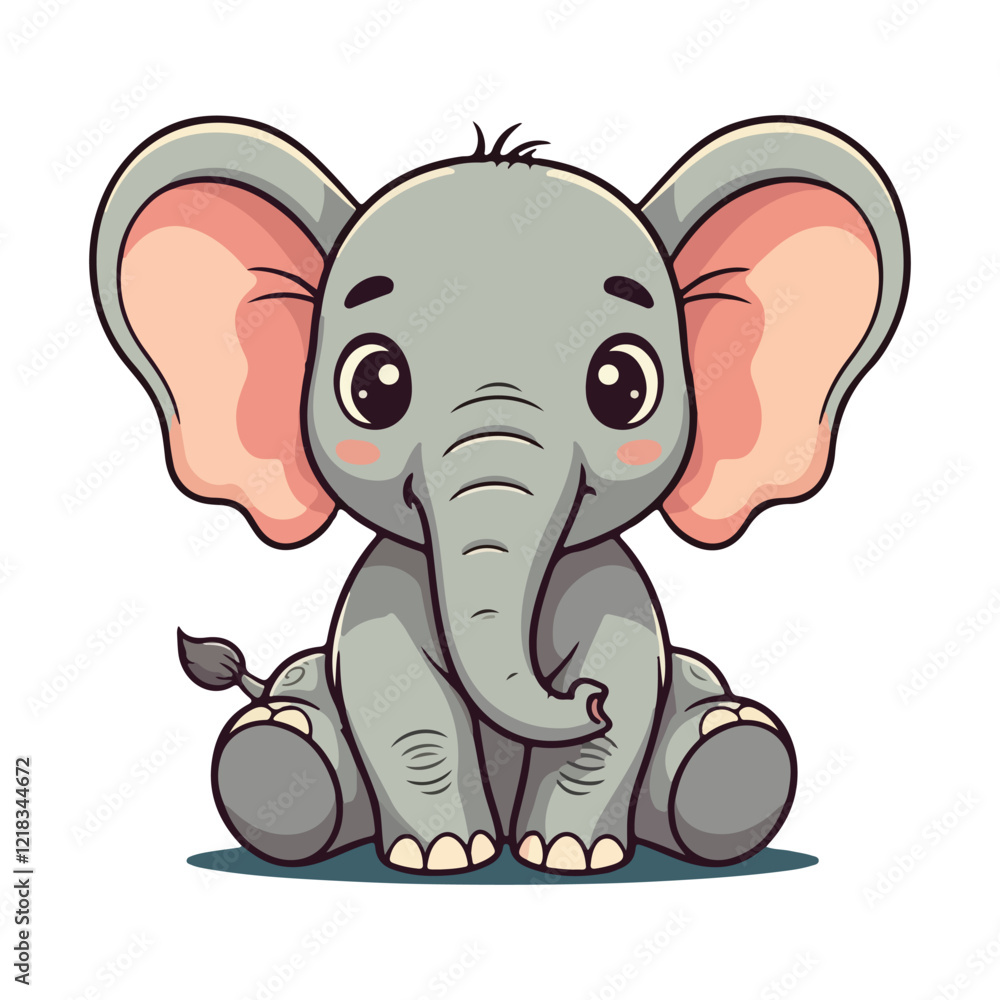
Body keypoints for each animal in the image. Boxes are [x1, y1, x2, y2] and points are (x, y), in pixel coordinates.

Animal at [91, 116, 908, 875]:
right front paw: (447, 855)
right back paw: (278, 749)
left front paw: (569, 855)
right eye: (373, 384)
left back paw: (731, 748)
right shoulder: (384, 588)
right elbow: (402, 699)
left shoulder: (611, 584)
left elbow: (626, 685)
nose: (582, 700)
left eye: (623, 384)